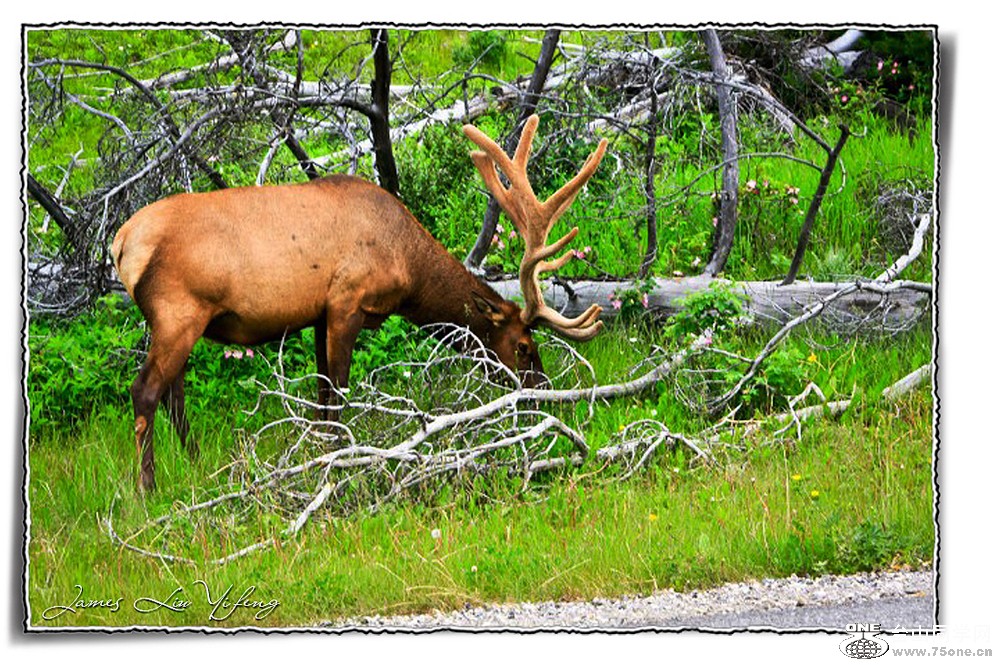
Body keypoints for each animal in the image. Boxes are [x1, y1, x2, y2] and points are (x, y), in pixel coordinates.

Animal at [113, 113, 604, 488]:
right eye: (523, 345)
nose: (544, 391)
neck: (407, 266)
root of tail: (122, 244)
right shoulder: (347, 303)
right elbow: (340, 393)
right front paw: (342, 456)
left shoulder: (317, 314)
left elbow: (321, 396)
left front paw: (319, 452)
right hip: (178, 313)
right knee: (145, 391)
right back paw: (147, 489)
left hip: (176, 323)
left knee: (174, 396)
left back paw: (196, 465)